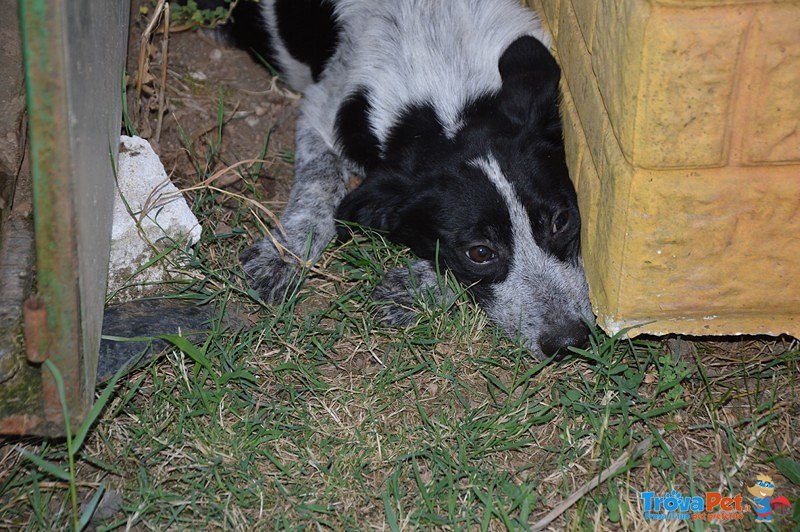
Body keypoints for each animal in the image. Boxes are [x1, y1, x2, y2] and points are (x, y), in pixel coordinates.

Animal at [206, 0, 592, 360]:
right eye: (480, 252)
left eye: (562, 220)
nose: (568, 341)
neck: (445, 86)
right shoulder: (319, 114)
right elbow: (319, 183)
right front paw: (283, 254)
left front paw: (417, 285)